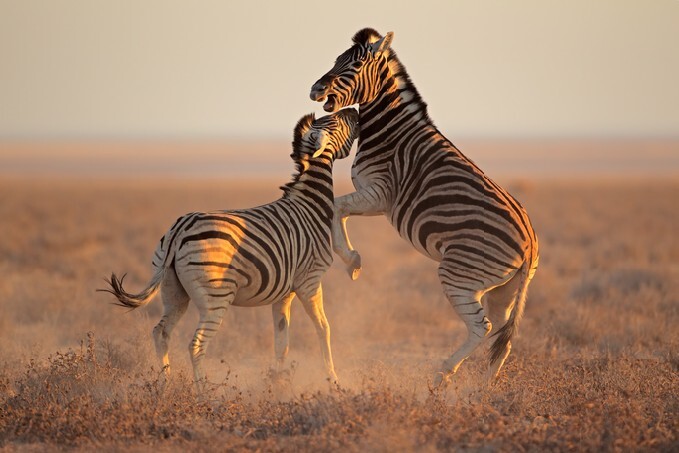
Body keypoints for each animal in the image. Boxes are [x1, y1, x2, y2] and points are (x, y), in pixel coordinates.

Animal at [99, 108, 359, 387]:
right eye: (335, 122)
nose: (354, 111)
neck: (309, 204)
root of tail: (179, 231)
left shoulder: (284, 292)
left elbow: (281, 341)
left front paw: (277, 383)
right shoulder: (310, 280)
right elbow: (324, 328)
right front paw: (333, 379)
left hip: (173, 291)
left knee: (161, 333)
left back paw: (165, 383)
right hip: (216, 297)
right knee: (196, 345)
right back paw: (203, 391)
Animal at [309, 28, 539, 385]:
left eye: (355, 64)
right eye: (337, 59)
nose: (315, 89)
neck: (390, 132)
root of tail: (529, 243)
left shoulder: (380, 194)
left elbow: (335, 207)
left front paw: (351, 261)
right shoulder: (376, 199)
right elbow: (340, 210)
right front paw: (353, 261)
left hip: (459, 274)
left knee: (482, 327)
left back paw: (443, 373)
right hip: (504, 289)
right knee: (502, 336)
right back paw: (483, 390)